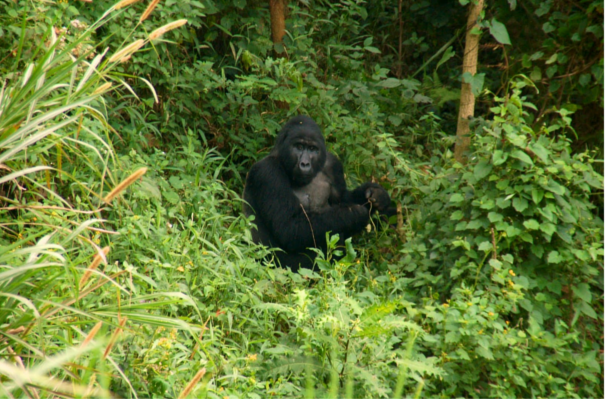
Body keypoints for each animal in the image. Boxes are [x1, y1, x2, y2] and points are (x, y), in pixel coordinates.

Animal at [243, 115, 390, 272]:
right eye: (299, 147)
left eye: (313, 149)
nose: (305, 164)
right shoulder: (268, 173)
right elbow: (289, 228)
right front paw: (353, 215)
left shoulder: (333, 164)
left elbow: (344, 198)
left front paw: (377, 195)